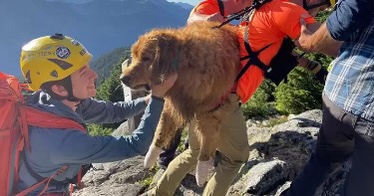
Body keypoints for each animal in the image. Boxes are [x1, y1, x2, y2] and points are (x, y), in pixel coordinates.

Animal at [121, 21, 241, 185]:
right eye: (134, 56)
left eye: (146, 58)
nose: (122, 78)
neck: (184, 65)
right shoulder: (171, 104)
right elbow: (161, 130)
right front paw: (151, 154)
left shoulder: (209, 110)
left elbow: (207, 141)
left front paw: (201, 170)